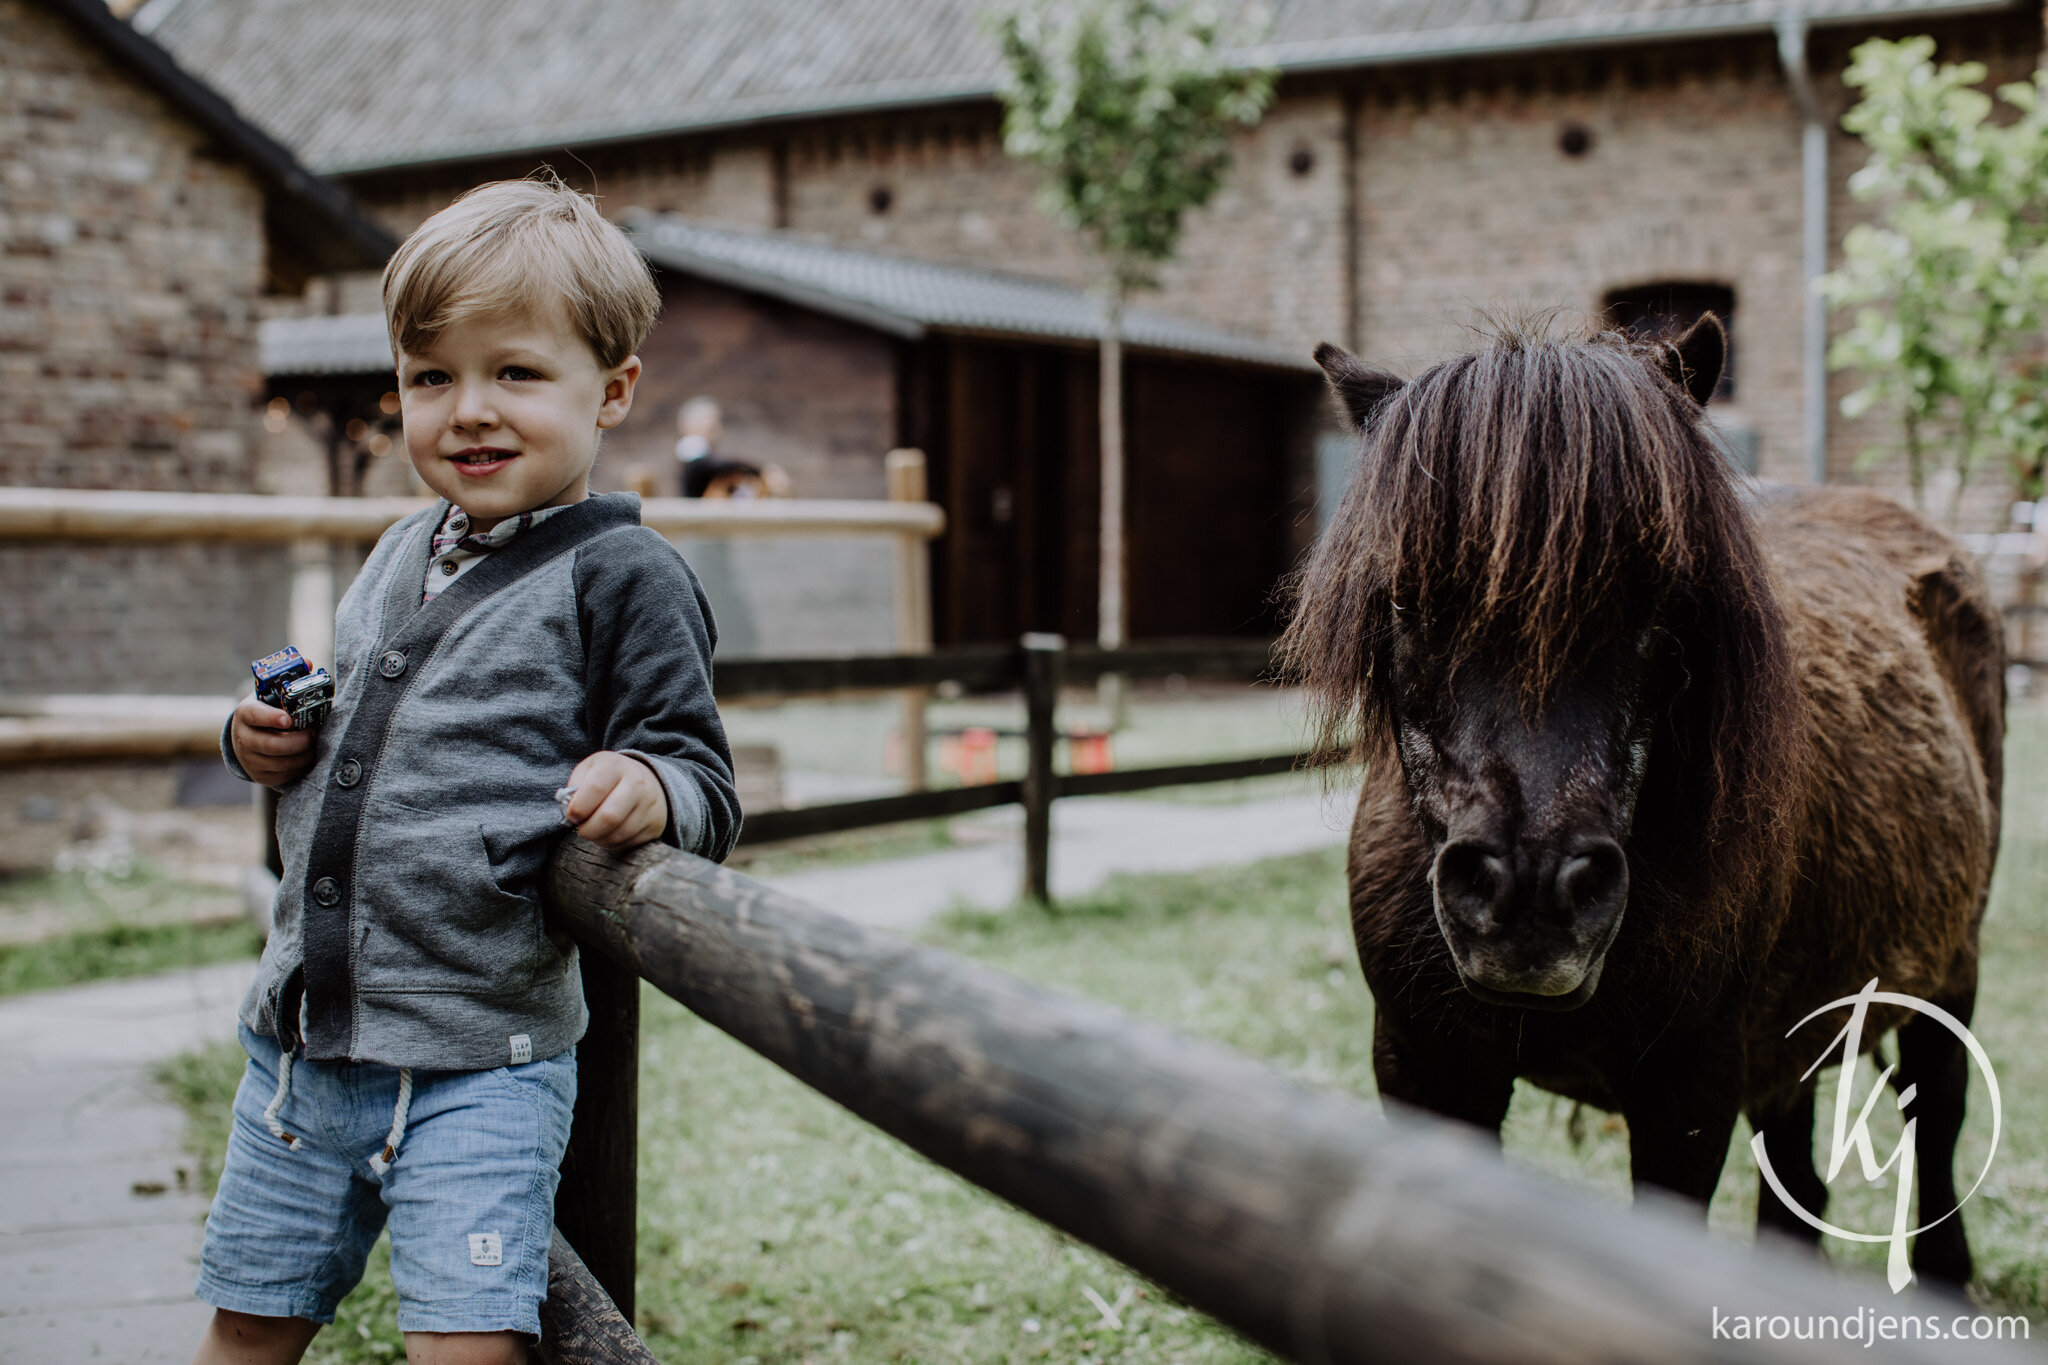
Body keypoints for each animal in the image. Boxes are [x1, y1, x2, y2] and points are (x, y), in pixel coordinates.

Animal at [1286, 315, 2007, 1285]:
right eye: (1403, 596)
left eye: (1662, 599)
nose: (1532, 896)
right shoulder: (1422, 1067)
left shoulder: (1687, 1097)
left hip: (1949, 980)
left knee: (1937, 1134)